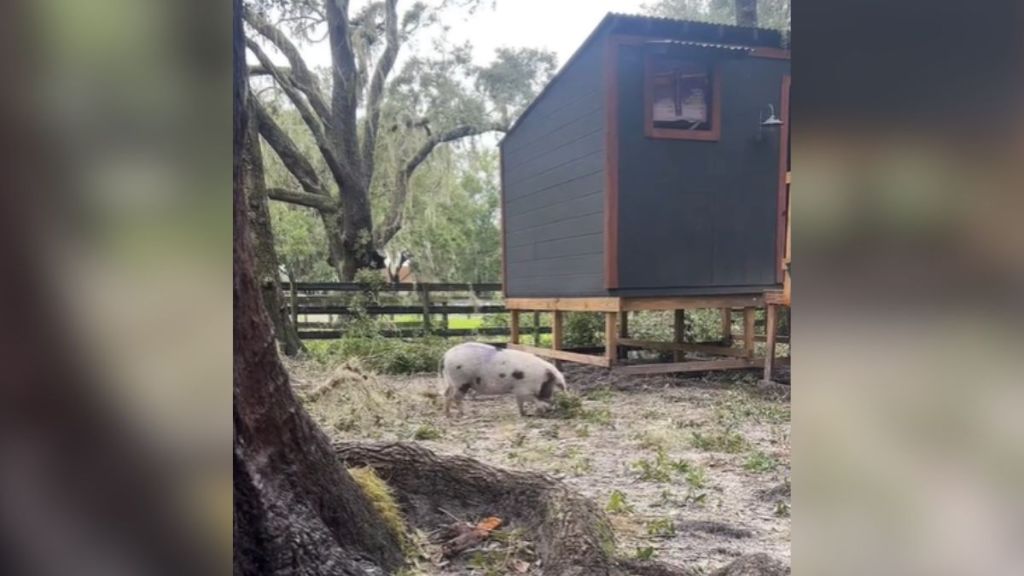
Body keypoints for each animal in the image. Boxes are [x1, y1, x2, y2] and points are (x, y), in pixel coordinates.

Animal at [440, 340, 569, 416]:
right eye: (550, 385)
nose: (551, 409)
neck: (540, 378)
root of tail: (446, 355)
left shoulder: (519, 391)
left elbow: (520, 402)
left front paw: (524, 413)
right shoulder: (523, 390)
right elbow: (532, 399)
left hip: (451, 380)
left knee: (447, 394)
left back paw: (447, 414)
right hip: (460, 381)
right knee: (456, 397)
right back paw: (464, 413)